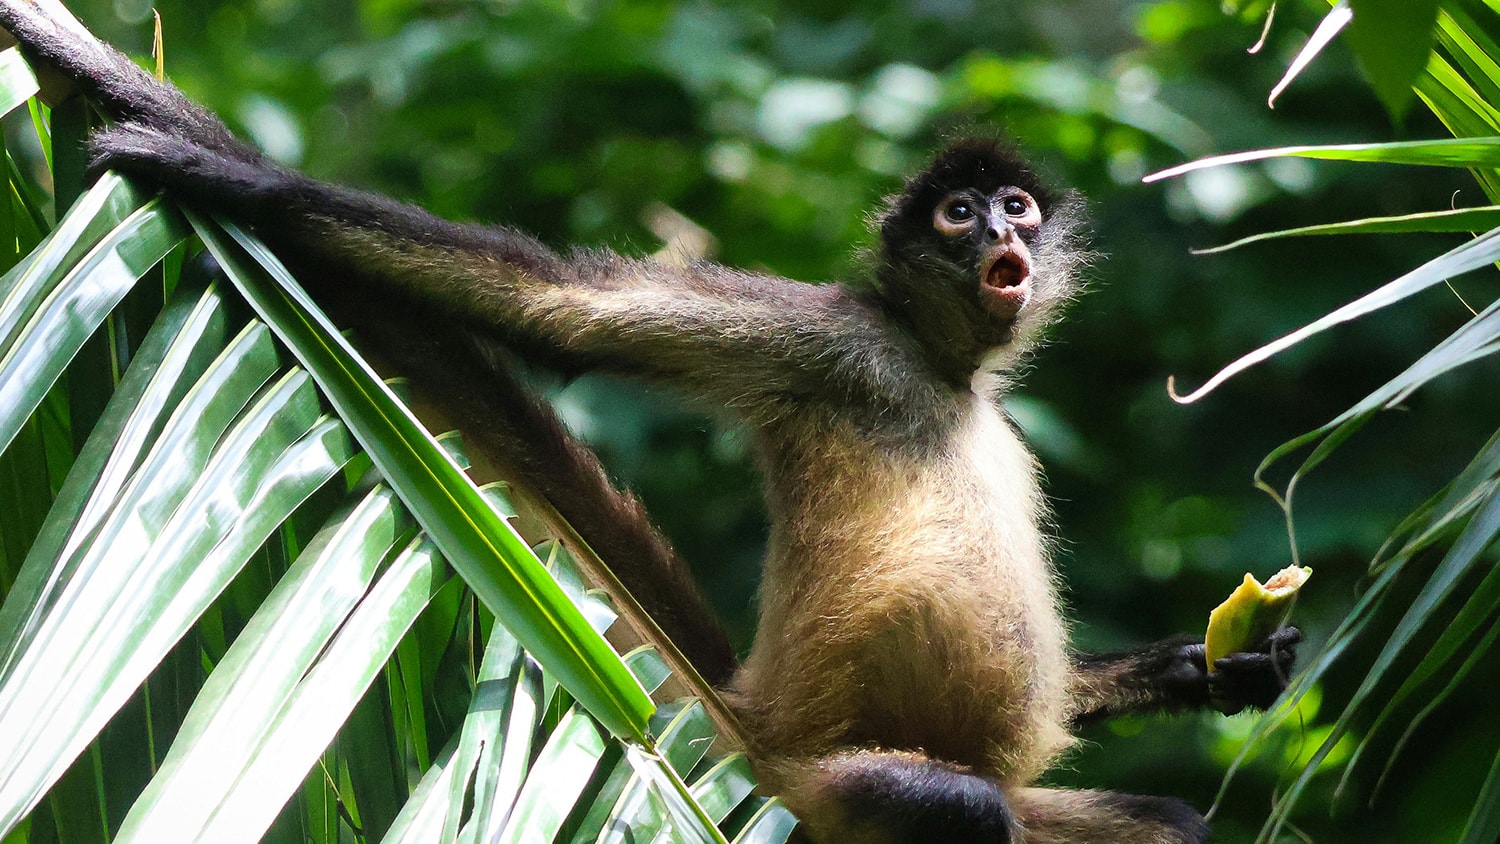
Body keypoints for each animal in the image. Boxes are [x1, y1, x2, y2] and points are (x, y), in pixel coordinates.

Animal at [0, 4, 1302, 842]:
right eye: (959, 213)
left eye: (1017, 206)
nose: (997, 233)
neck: (937, 371)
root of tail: (757, 719)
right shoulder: (825, 340)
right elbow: (566, 311)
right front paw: (237, 176)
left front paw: (1209, 666)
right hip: (837, 783)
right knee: (956, 806)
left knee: (1165, 825)